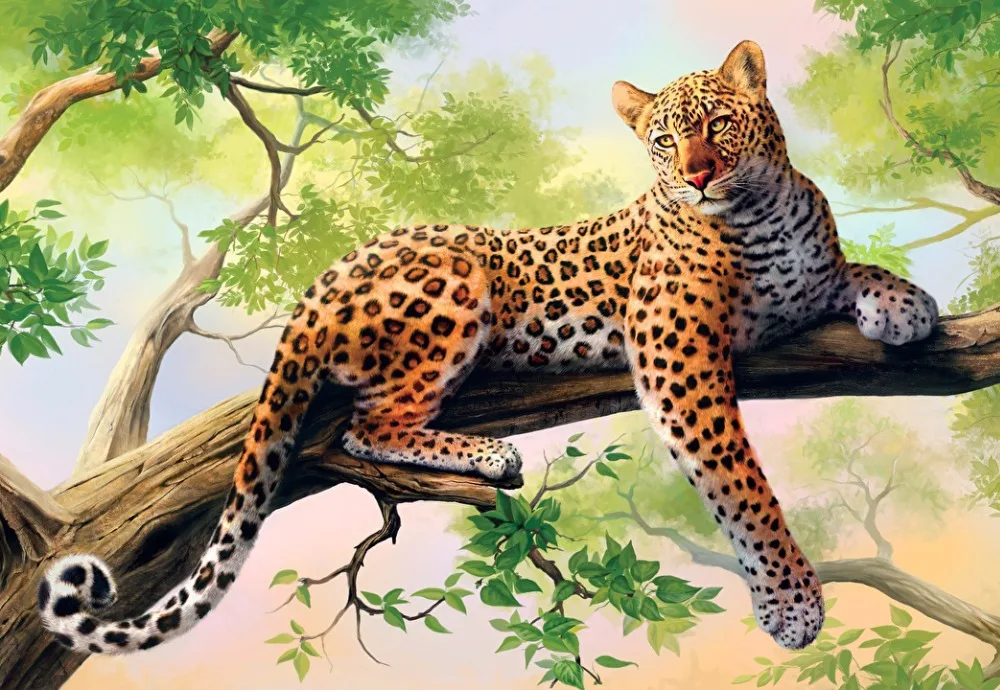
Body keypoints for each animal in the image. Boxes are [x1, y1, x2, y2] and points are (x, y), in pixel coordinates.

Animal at [39, 40, 938, 656]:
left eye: (717, 123)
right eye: (662, 140)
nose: (697, 176)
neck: (759, 212)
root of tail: (323, 279)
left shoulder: (802, 285)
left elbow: (849, 269)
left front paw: (906, 303)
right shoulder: (677, 356)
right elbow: (740, 482)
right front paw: (791, 601)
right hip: (456, 283)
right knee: (369, 424)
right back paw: (489, 455)